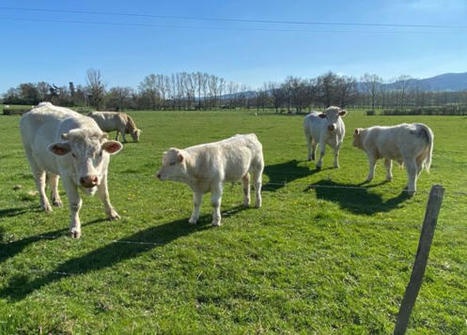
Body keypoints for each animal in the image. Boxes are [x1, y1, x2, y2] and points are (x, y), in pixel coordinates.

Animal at [19, 101, 123, 238]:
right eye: (73, 154)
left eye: (100, 153)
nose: (89, 179)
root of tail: (41, 105)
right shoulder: (67, 176)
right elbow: (75, 203)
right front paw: (75, 227)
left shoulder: (103, 173)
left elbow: (105, 195)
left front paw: (112, 213)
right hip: (33, 160)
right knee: (40, 183)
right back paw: (45, 204)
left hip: (52, 163)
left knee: (53, 180)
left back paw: (56, 200)